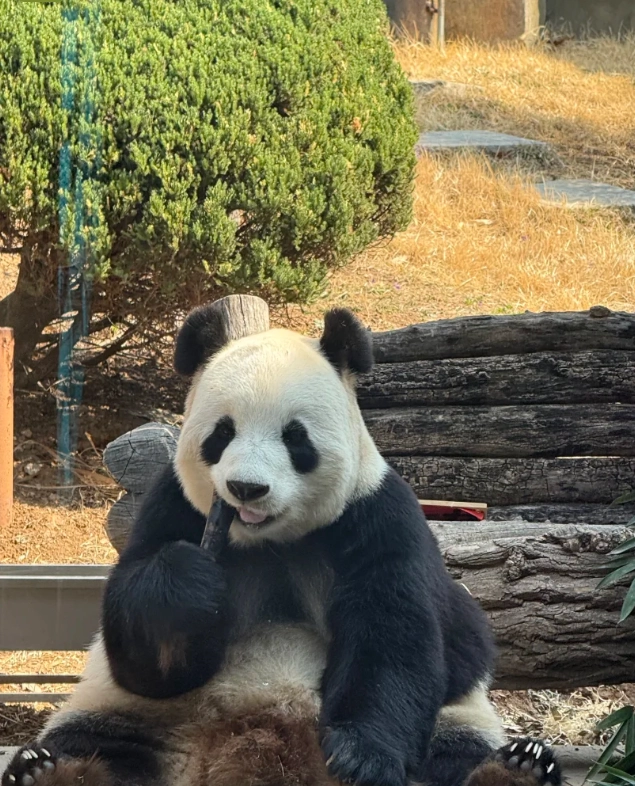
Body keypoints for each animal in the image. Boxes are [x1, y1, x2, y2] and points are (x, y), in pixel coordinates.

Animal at [2, 306, 562, 786]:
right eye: (221, 433)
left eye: (295, 437)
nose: (246, 489)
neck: (270, 541)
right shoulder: (171, 508)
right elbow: (143, 652)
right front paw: (189, 582)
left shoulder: (376, 515)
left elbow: (394, 630)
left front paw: (362, 756)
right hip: (138, 719)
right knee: (102, 741)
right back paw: (48, 770)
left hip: (455, 718)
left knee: (454, 753)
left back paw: (517, 769)